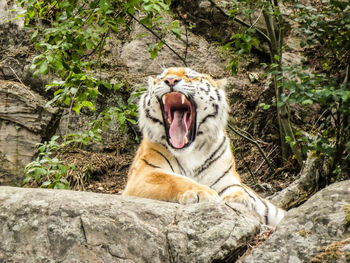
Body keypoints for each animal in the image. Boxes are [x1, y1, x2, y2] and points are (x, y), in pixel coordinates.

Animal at [123, 67, 284, 227]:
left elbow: (236, 188)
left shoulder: (227, 177)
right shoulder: (144, 173)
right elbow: (174, 180)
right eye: (161, 77)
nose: (170, 80)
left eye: (189, 75)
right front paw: (201, 192)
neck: (190, 152)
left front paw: (241, 199)